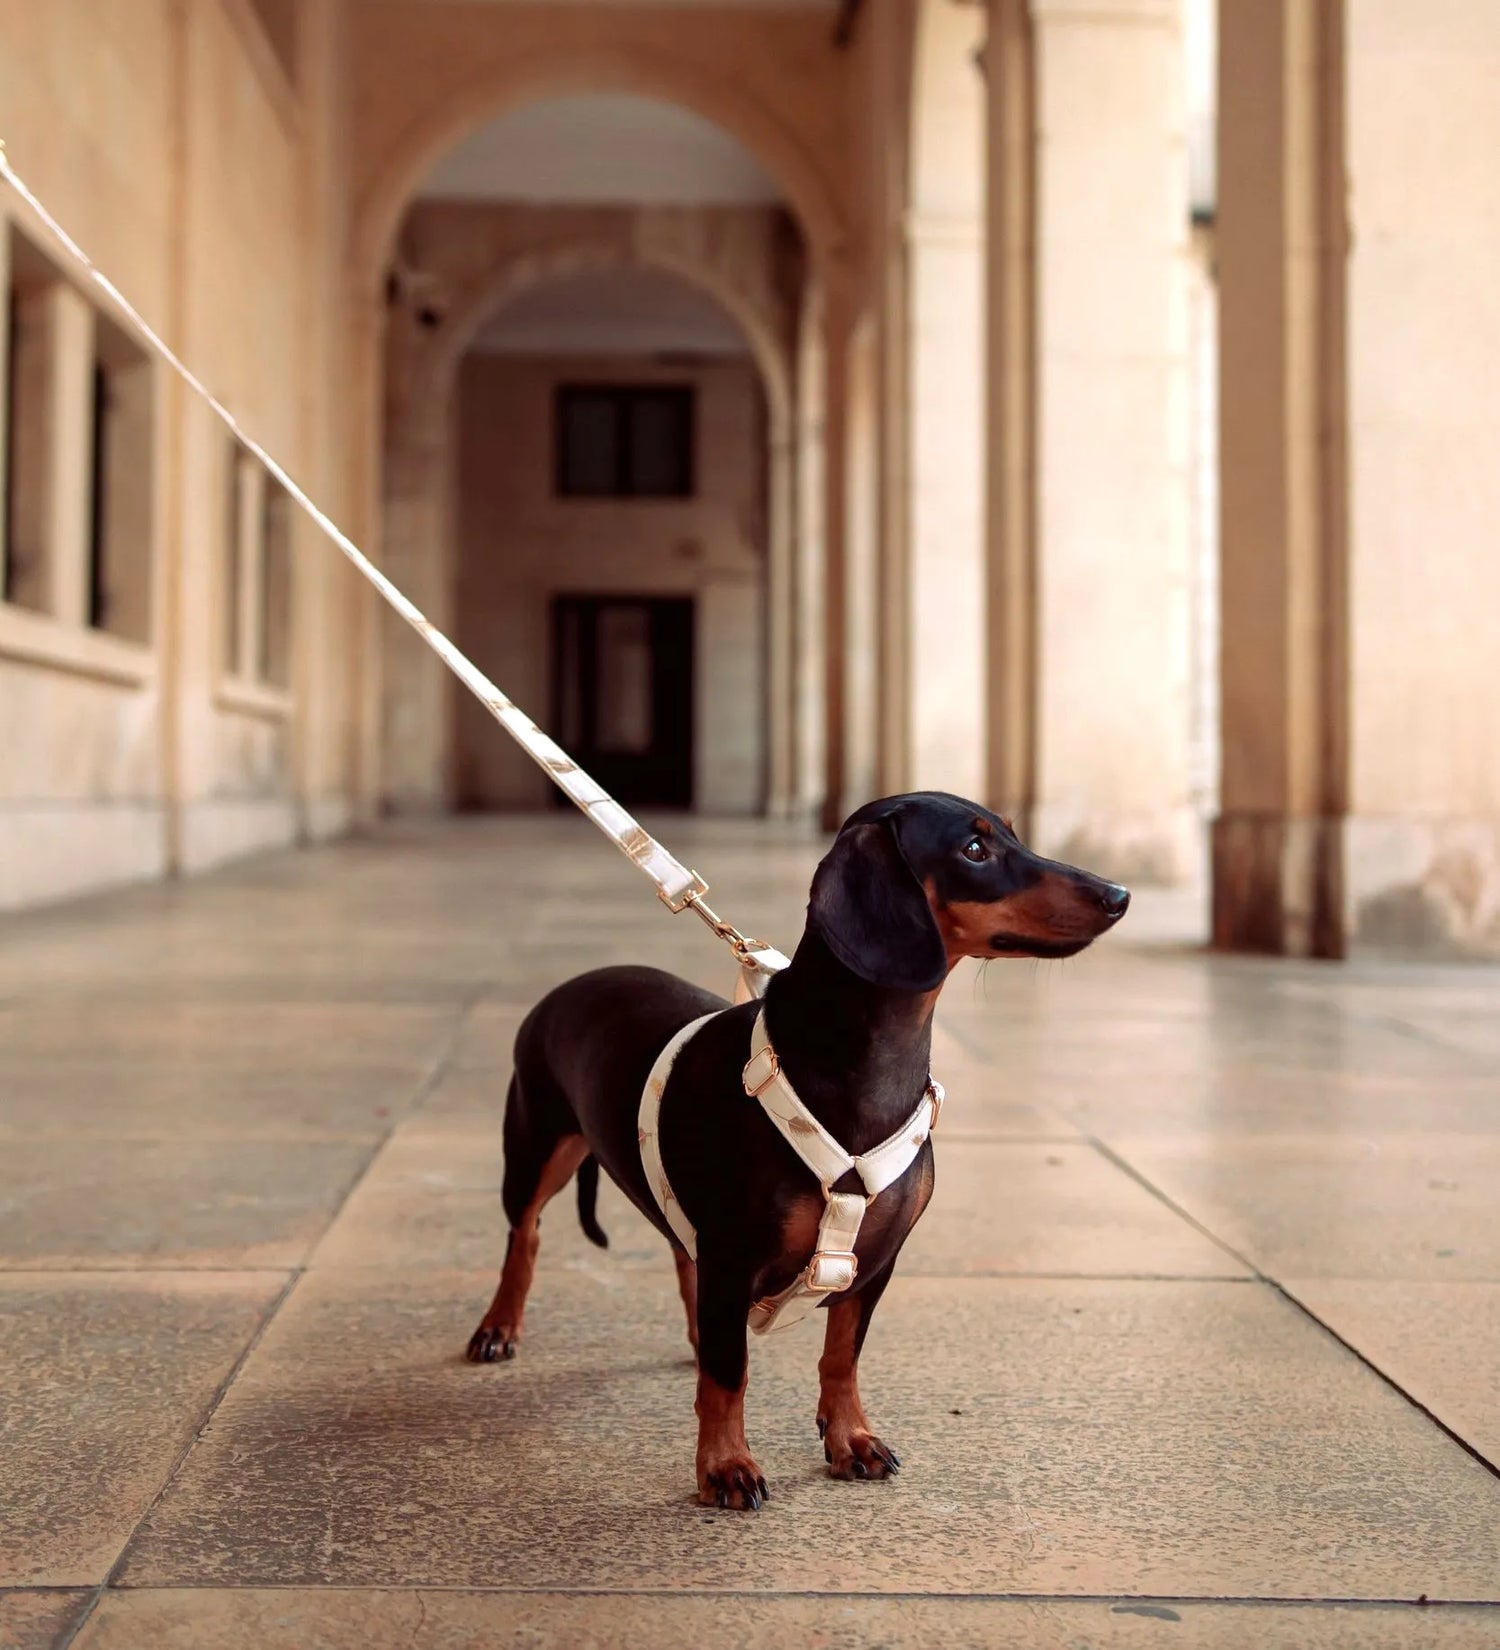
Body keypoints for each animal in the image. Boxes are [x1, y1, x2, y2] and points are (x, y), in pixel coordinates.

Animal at [462, 788, 1128, 1511]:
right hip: (536, 1146)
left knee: (681, 1261)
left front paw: (851, 1438)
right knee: (525, 1234)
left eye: (1011, 832)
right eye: (974, 849)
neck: (864, 1064)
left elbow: (842, 1355)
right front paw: (725, 1466)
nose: (1119, 894)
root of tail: (576, 981)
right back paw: (499, 1326)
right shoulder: (734, 1258)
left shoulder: (874, 1261)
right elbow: (729, 1377)